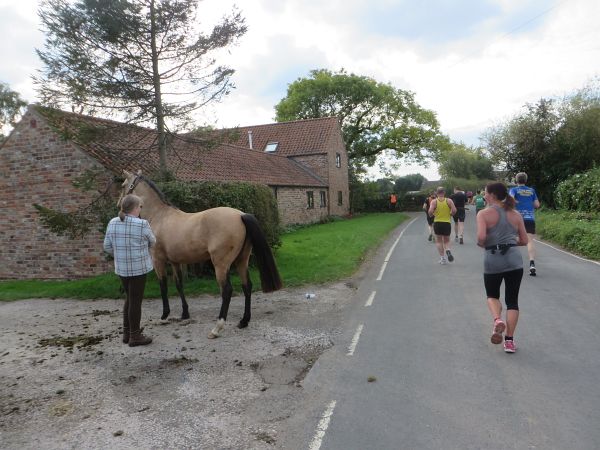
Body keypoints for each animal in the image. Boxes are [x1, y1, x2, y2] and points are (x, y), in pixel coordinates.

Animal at [120, 171, 286, 340]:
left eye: (123, 185)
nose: (119, 207)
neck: (160, 216)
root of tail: (240, 215)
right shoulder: (175, 262)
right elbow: (179, 285)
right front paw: (184, 313)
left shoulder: (158, 260)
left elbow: (163, 286)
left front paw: (164, 316)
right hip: (242, 260)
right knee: (247, 286)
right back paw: (244, 321)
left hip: (221, 264)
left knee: (227, 291)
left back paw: (217, 328)